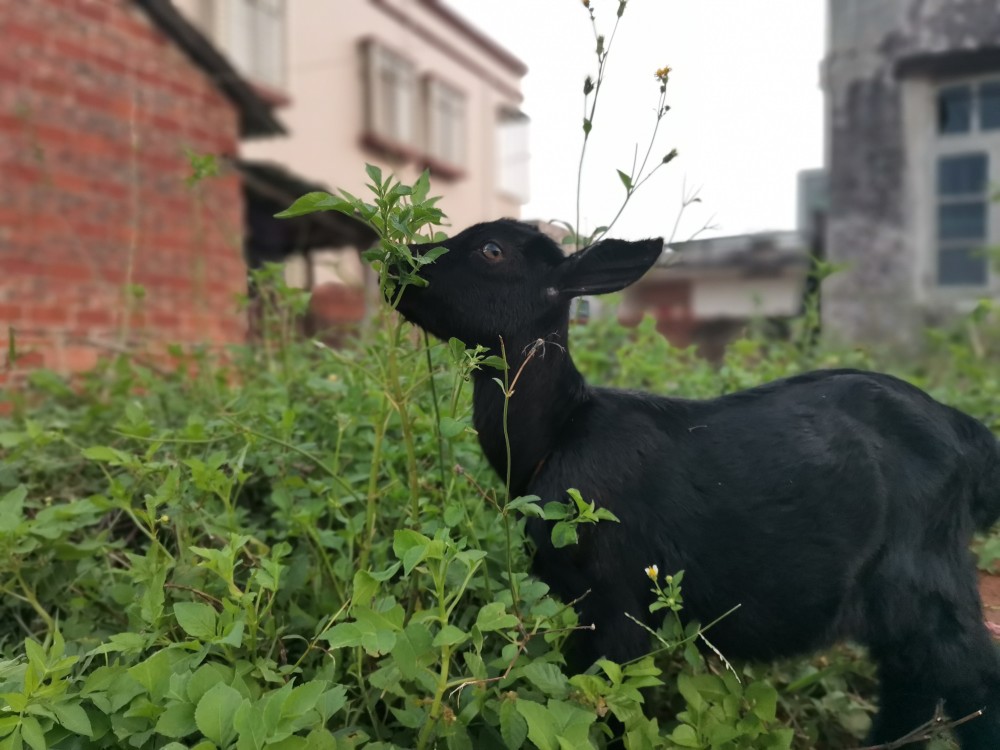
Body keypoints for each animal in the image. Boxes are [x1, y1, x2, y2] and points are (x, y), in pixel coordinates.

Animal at [394, 220, 1000, 748]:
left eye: (491, 250)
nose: (394, 259)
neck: (560, 431)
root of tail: (970, 438)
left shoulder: (617, 603)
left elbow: (608, 700)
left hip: (925, 577)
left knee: (971, 680)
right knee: (910, 687)